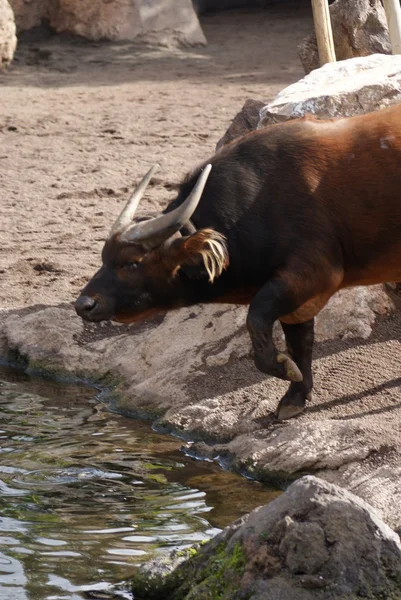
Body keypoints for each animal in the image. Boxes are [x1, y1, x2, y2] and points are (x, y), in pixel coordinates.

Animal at [76, 103, 401, 422]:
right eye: (103, 258)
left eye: (131, 263)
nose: (84, 305)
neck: (258, 200)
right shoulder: (300, 295)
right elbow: (300, 341)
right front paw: (295, 397)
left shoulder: (313, 274)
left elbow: (256, 320)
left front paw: (283, 370)